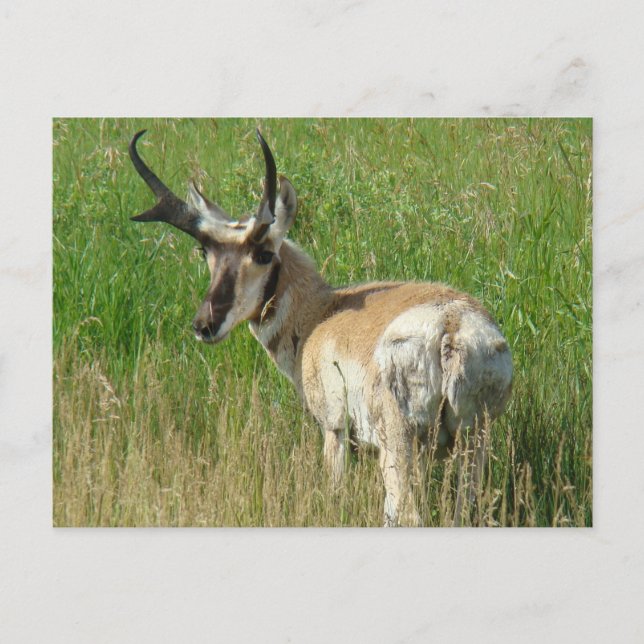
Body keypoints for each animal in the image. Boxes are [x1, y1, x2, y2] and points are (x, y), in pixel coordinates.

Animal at [128, 128, 513, 526]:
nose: (204, 325)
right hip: (473, 442)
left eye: (264, 253)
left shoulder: (334, 430)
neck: (321, 312)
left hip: (400, 444)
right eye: (206, 252)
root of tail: (449, 326)